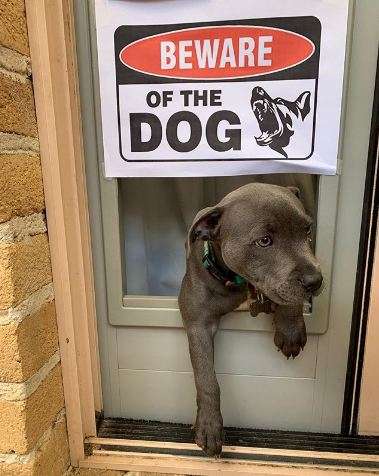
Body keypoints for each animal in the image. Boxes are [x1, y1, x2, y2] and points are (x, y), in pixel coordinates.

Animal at [180, 180, 322, 456]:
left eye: (307, 231)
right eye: (264, 241)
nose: (315, 281)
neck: (237, 281)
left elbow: (282, 292)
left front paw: (290, 328)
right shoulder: (197, 322)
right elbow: (206, 376)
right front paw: (209, 425)